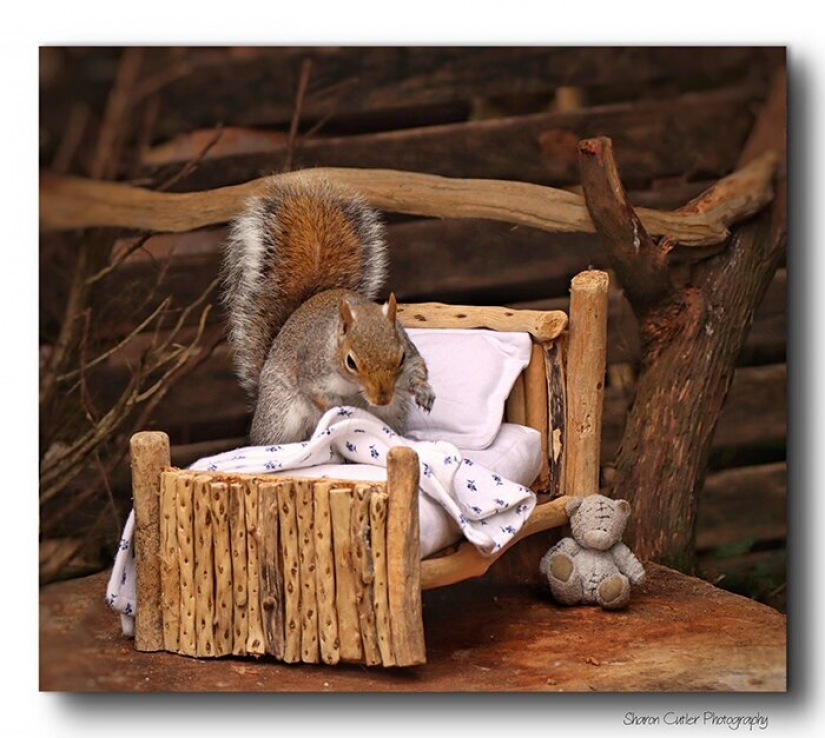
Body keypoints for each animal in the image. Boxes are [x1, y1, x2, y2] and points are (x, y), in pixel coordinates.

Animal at [221, 173, 435, 445]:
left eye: (401, 357)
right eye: (350, 362)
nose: (382, 399)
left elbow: (418, 367)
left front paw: (423, 390)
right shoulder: (312, 370)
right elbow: (318, 396)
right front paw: (342, 409)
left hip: (394, 413)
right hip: (280, 415)